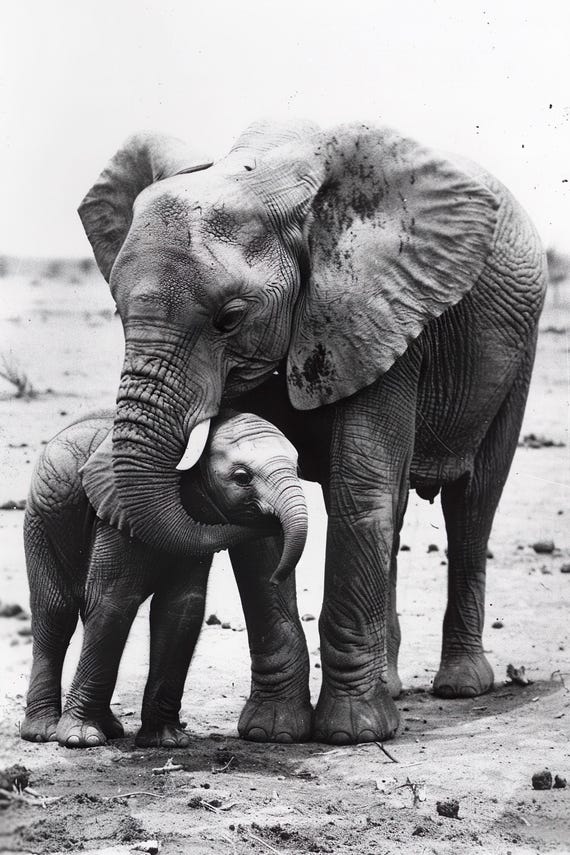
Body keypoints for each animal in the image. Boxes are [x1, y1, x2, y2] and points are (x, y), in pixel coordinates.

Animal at [22, 408, 308, 747]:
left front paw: (166, 741)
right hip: (40, 520)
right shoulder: (117, 516)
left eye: (298, 468)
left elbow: (181, 609)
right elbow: (111, 604)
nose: (276, 577)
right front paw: (81, 739)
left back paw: (111, 729)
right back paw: (43, 732)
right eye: (242, 478)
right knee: (55, 612)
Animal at [78, 120, 547, 744]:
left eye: (229, 318)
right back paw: (393, 687)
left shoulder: (382, 314)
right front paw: (273, 733)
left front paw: (353, 734)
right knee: (401, 508)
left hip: (517, 352)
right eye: (118, 312)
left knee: (473, 503)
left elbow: (358, 492)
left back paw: (462, 687)